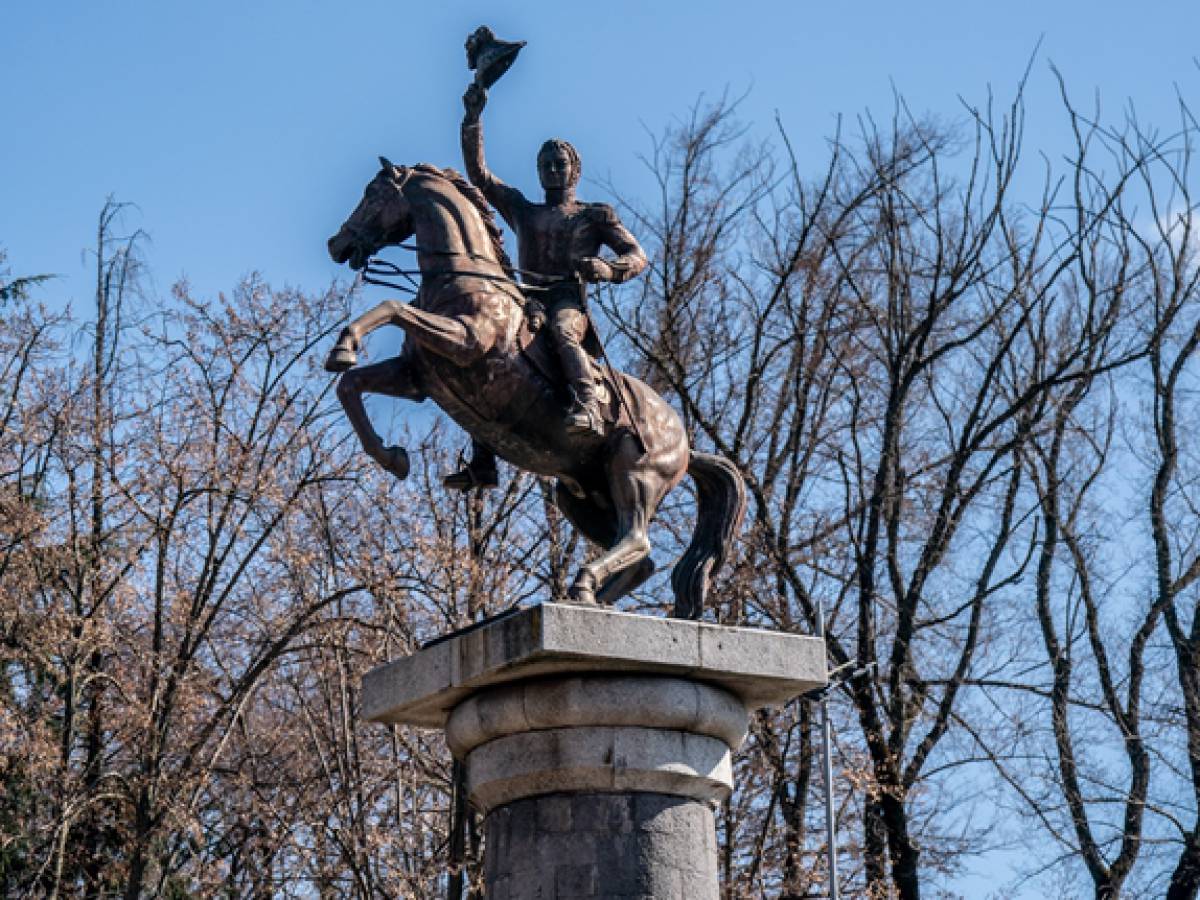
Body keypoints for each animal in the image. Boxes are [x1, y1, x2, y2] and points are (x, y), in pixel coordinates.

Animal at [324, 158, 744, 619]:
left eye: (373, 194)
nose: (336, 243)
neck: (462, 278)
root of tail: (685, 442)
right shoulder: (417, 377)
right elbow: (350, 385)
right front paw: (392, 457)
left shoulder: (464, 341)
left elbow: (392, 307)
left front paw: (343, 347)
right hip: (580, 495)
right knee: (640, 557)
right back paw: (584, 598)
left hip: (636, 476)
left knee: (637, 538)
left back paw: (583, 581)